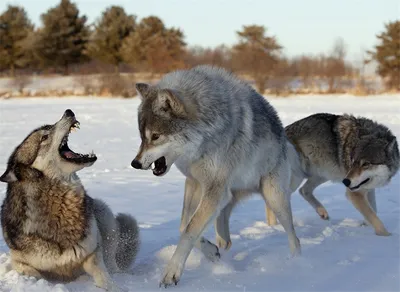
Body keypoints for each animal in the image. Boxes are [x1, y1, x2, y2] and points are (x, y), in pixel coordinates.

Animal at [0, 109, 140, 292]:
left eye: (49, 126)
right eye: (44, 137)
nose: (68, 111)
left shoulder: (93, 252)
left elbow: (102, 274)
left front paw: (114, 287)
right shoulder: (19, 262)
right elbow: (32, 273)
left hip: (103, 212)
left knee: (112, 264)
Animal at [131, 65, 304, 286]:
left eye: (155, 136)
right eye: (142, 137)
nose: (135, 163)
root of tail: (284, 137)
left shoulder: (213, 188)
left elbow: (189, 231)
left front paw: (171, 273)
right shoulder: (195, 182)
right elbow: (184, 226)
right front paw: (211, 252)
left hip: (273, 198)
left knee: (294, 237)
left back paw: (296, 264)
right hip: (230, 194)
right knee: (224, 218)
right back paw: (222, 242)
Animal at [266, 113, 400, 236]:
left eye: (366, 164)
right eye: (352, 161)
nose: (346, 182)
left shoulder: (368, 189)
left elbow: (373, 211)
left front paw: (366, 225)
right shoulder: (354, 193)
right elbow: (374, 218)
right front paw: (386, 237)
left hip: (322, 175)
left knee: (303, 190)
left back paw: (322, 212)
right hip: (297, 177)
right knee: (273, 199)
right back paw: (273, 227)